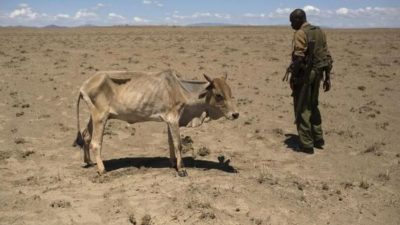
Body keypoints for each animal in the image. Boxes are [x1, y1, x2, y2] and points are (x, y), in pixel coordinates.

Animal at [73, 69, 239, 177]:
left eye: (230, 93)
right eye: (219, 95)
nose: (235, 114)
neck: (181, 90)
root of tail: (84, 86)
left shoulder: (169, 121)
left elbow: (171, 143)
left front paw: (173, 163)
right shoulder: (173, 118)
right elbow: (178, 144)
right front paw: (182, 169)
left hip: (94, 117)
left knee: (86, 135)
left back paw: (88, 161)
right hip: (100, 117)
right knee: (95, 143)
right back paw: (102, 170)